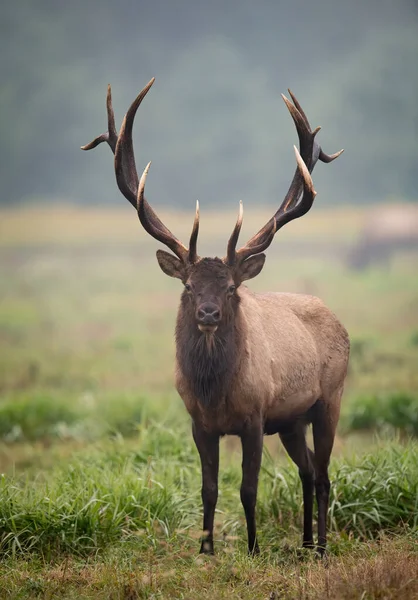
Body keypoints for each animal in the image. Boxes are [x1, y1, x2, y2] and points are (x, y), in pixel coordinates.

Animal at [81, 77, 350, 556]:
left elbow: (248, 489)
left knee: (322, 476)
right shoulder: (198, 423)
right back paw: (303, 543)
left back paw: (320, 547)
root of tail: (336, 319)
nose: (207, 313)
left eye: (230, 288)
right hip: (292, 420)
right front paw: (205, 550)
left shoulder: (255, 417)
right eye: (188, 286)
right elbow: (208, 488)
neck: (215, 393)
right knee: (305, 472)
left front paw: (253, 549)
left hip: (329, 400)